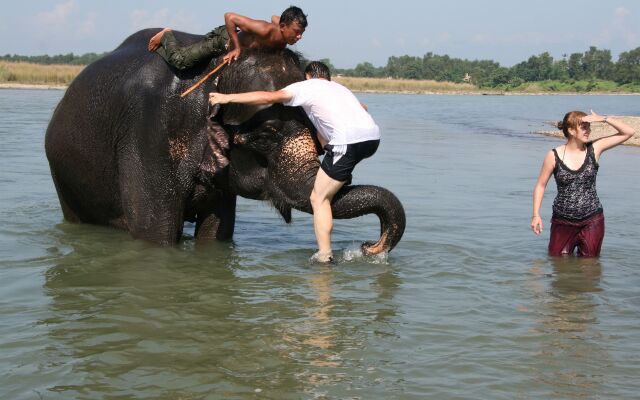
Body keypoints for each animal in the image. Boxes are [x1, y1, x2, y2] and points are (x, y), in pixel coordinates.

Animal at [46, 28, 404, 255]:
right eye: (266, 136)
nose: (368, 247)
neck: (217, 69)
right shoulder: (146, 132)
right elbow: (154, 233)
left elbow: (216, 231)